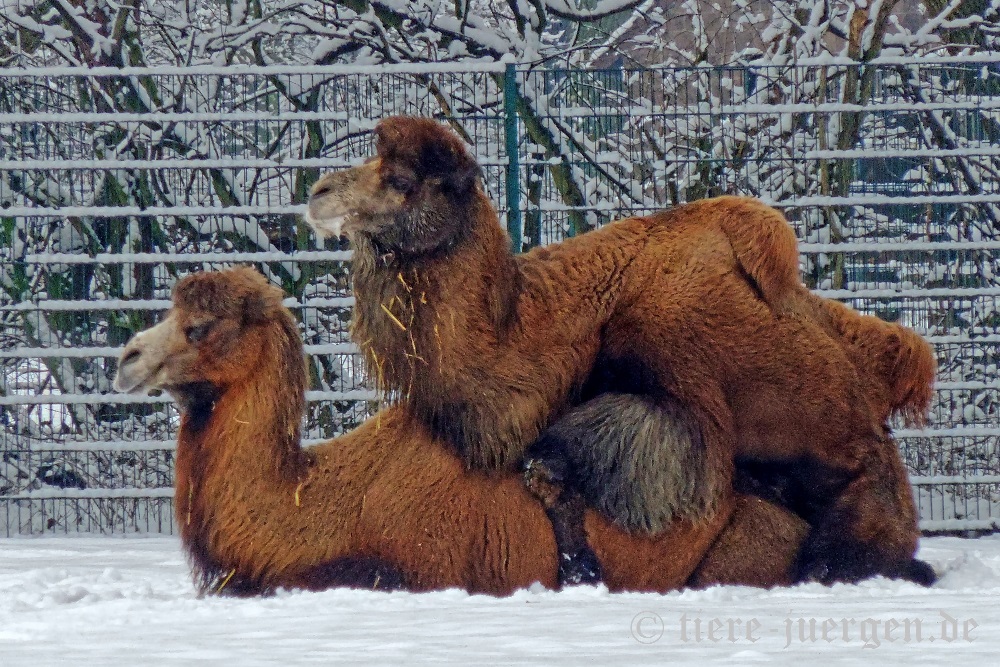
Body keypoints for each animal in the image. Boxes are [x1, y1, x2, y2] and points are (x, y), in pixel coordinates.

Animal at [302, 115, 936, 584]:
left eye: (402, 177)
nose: (318, 193)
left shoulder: (675, 412)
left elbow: (560, 460)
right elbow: (543, 474)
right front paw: (577, 567)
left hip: (858, 504)